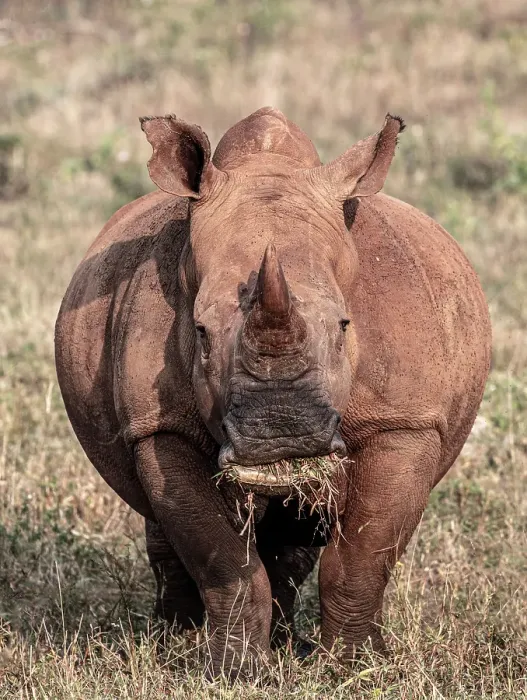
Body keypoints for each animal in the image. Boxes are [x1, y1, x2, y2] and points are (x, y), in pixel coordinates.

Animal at [55, 107, 491, 676]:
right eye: (200, 333)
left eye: (345, 326)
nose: (281, 434)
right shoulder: (159, 426)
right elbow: (220, 559)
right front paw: (232, 672)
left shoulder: (406, 420)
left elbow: (363, 555)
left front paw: (353, 668)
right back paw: (173, 643)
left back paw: (291, 647)